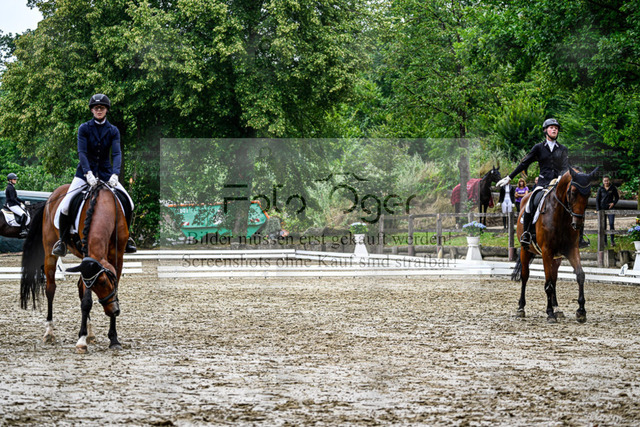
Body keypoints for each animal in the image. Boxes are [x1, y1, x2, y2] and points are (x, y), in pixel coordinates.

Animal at [20, 181, 128, 353]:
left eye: (106, 282)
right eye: (101, 283)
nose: (113, 310)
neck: (106, 208)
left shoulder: (117, 257)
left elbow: (107, 292)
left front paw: (114, 339)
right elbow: (86, 301)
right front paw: (81, 341)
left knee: (78, 288)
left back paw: (90, 333)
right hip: (50, 252)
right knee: (51, 289)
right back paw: (49, 332)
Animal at [511, 168, 598, 323]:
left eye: (588, 194)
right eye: (573, 192)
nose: (578, 224)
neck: (561, 214)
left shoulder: (571, 249)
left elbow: (580, 275)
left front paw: (581, 311)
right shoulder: (547, 251)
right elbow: (548, 284)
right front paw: (550, 313)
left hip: (557, 258)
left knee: (555, 277)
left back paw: (557, 308)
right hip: (525, 250)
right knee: (525, 276)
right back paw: (521, 308)